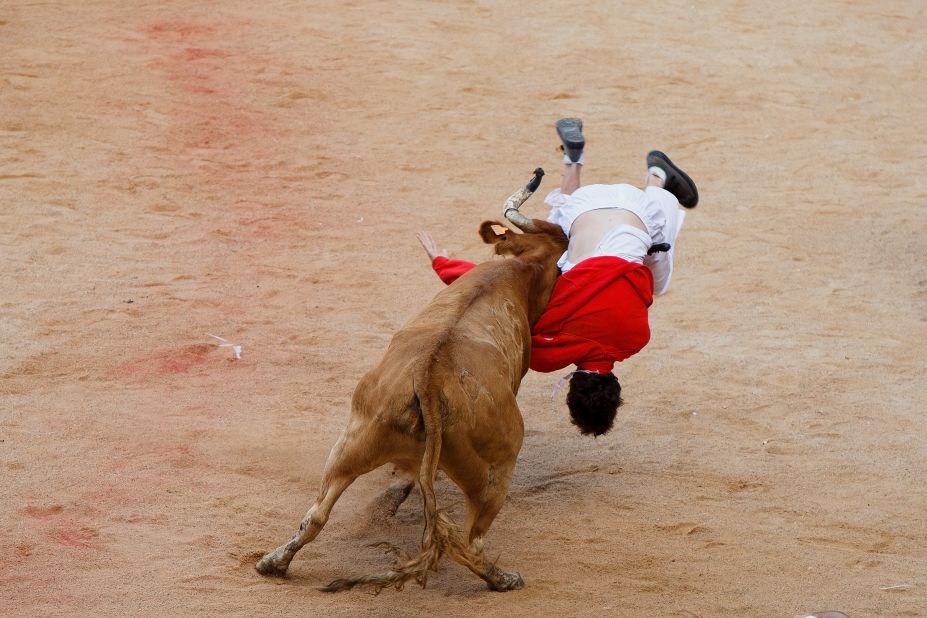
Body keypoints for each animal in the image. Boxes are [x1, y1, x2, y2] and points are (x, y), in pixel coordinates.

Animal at [258, 167, 568, 588]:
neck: (517, 272)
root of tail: (429, 379)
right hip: (496, 471)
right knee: (468, 542)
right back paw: (503, 578)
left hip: (352, 444)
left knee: (316, 514)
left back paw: (273, 562)